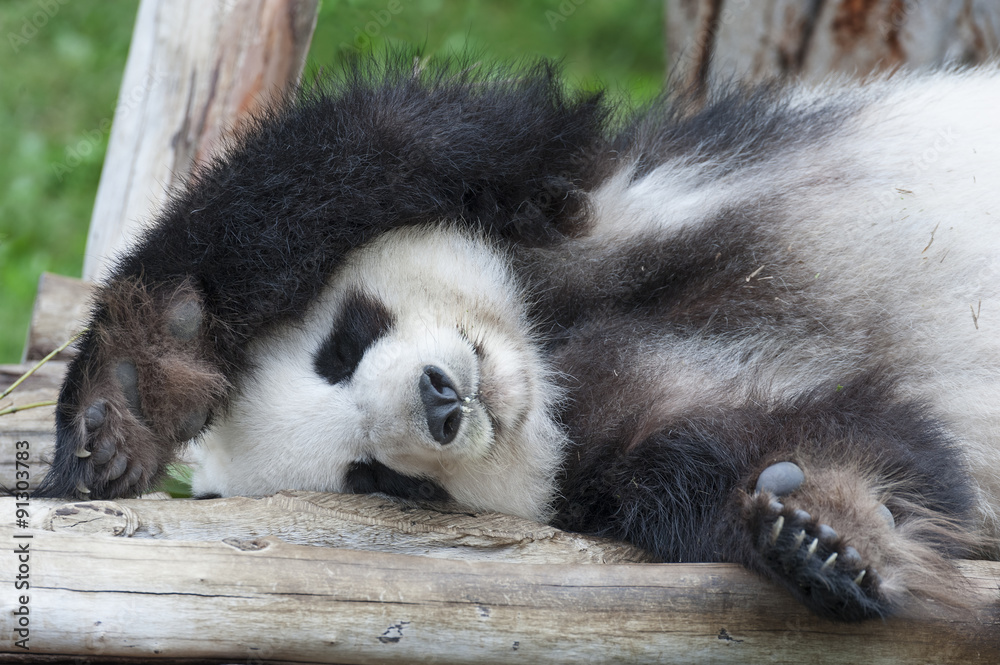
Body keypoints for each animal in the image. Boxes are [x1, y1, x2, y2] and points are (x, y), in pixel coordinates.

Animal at [36, 54, 1000, 622]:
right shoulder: (611, 456)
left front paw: (124, 398)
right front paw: (824, 531)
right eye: (378, 480)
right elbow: (830, 440)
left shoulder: (561, 193)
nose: (442, 401)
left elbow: (361, 152)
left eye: (341, 347)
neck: (551, 357)